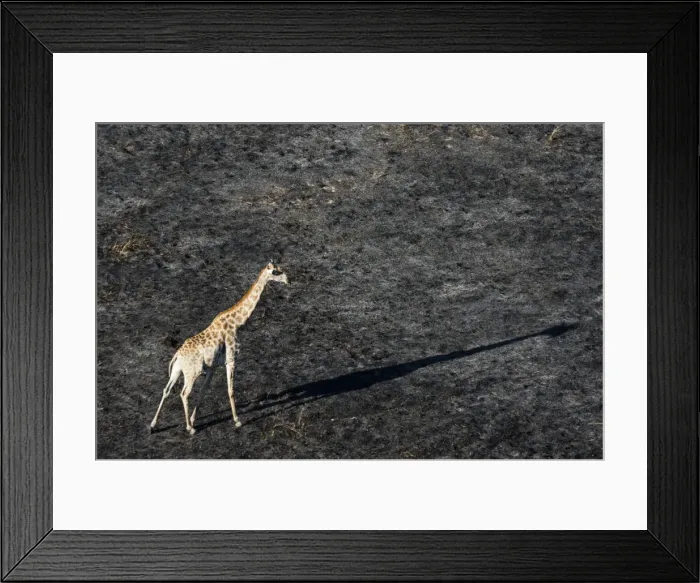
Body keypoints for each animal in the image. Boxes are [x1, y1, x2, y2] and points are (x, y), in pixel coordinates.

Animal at [149, 261, 289, 435]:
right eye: (276, 272)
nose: (288, 279)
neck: (237, 323)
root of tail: (177, 356)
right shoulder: (231, 359)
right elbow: (230, 390)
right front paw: (237, 420)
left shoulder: (212, 367)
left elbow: (204, 390)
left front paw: (194, 420)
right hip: (192, 373)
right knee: (184, 393)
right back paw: (189, 428)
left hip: (177, 370)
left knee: (166, 390)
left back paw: (153, 425)